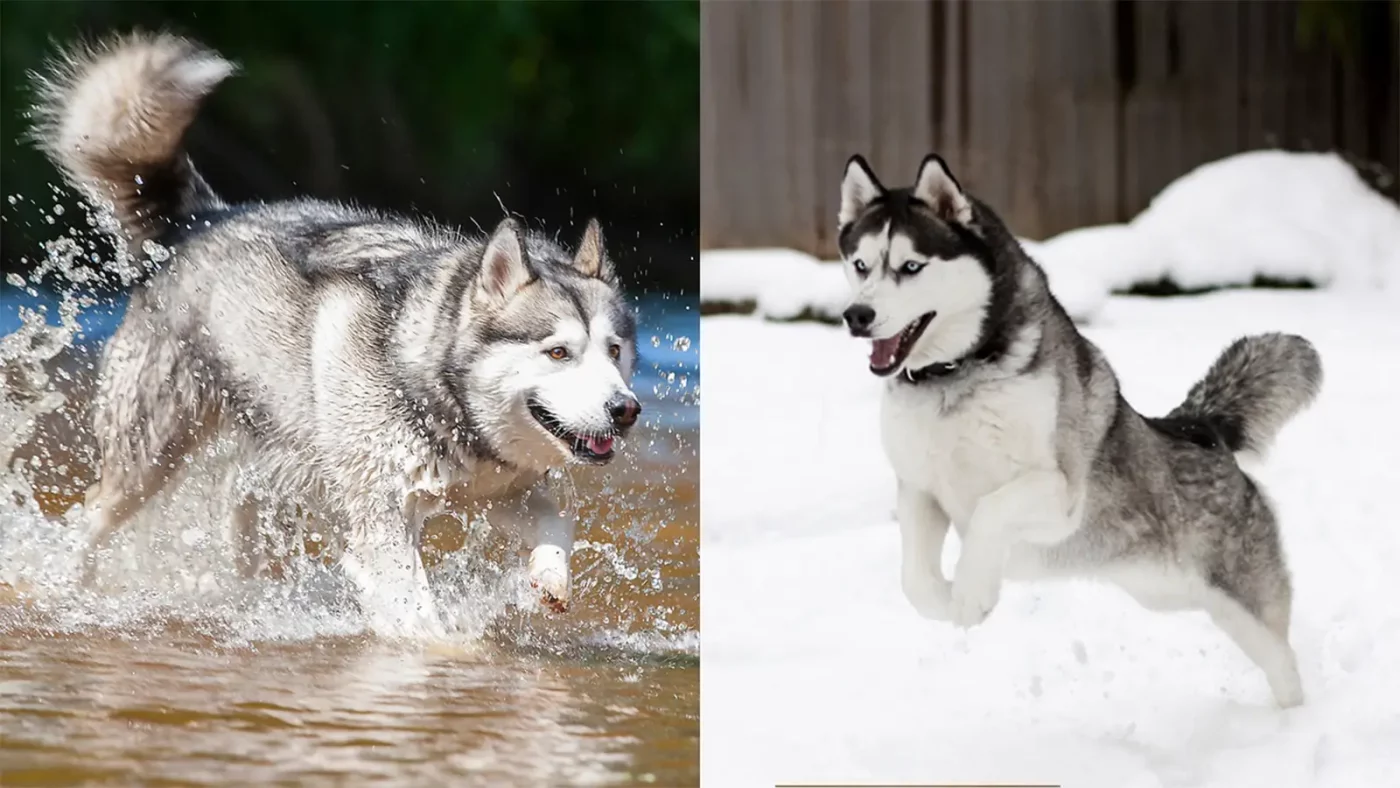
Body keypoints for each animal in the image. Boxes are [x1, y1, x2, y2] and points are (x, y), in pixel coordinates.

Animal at [28, 33, 641, 638]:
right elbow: (418, 613)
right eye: (558, 352)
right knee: (92, 517)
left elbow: (559, 525)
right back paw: (66, 587)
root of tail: (202, 220)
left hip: (270, 464)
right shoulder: (382, 515)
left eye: (615, 352)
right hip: (148, 457)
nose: (625, 409)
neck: (433, 385)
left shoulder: (502, 492)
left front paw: (549, 579)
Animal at [834, 153, 1316, 708]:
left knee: (1284, 661)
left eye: (911, 266)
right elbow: (914, 580)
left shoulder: (1058, 493)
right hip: (1165, 591)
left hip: (1241, 603)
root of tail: (1201, 426)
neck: (953, 377)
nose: (857, 315)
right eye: (861, 265)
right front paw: (947, 600)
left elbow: (990, 510)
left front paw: (974, 593)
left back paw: (1291, 717)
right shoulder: (920, 487)